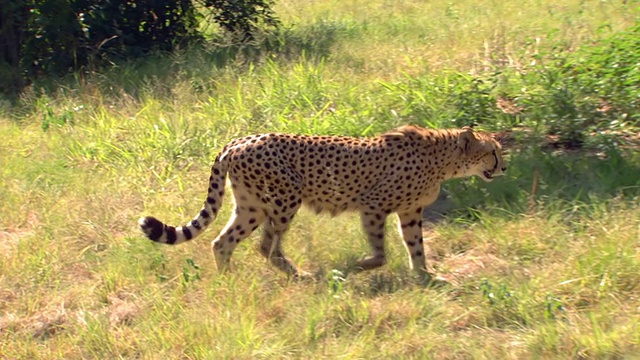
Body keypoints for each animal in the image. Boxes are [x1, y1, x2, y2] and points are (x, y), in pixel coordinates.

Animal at [139, 126, 504, 282]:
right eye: (493, 151)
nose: (503, 167)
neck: (442, 159)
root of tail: (239, 140)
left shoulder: (411, 211)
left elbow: (416, 246)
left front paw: (426, 276)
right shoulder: (373, 206)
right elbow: (382, 252)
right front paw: (360, 265)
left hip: (252, 206)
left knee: (222, 241)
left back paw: (229, 282)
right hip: (285, 200)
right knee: (266, 246)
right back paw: (300, 274)